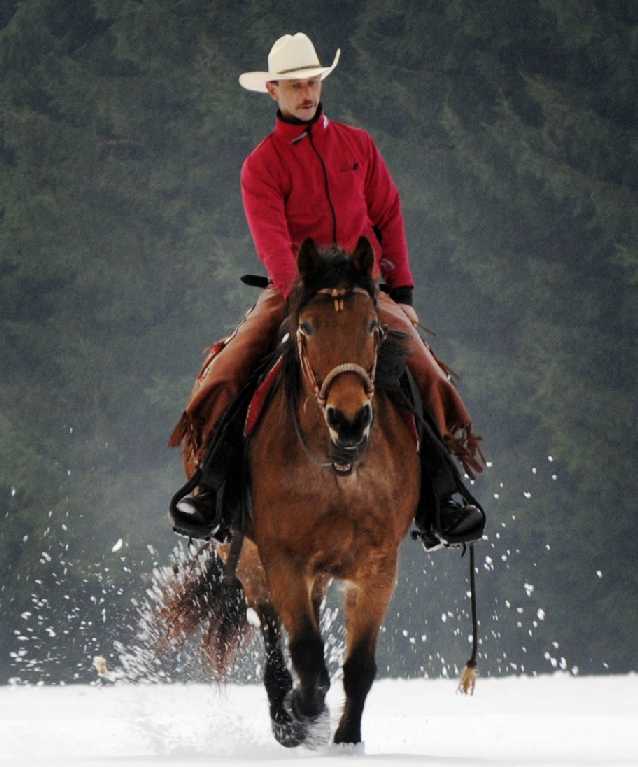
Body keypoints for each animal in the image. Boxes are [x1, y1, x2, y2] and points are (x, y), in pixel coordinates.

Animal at [160, 237, 421, 747]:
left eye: (373, 327)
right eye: (307, 327)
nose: (349, 419)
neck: (337, 466)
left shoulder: (378, 566)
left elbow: (360, 667)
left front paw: (346, 740)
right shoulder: (284, 560)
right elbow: (305, 652)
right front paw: (301, 713)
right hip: (248, 560)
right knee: (273, 636)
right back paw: (286, 713)